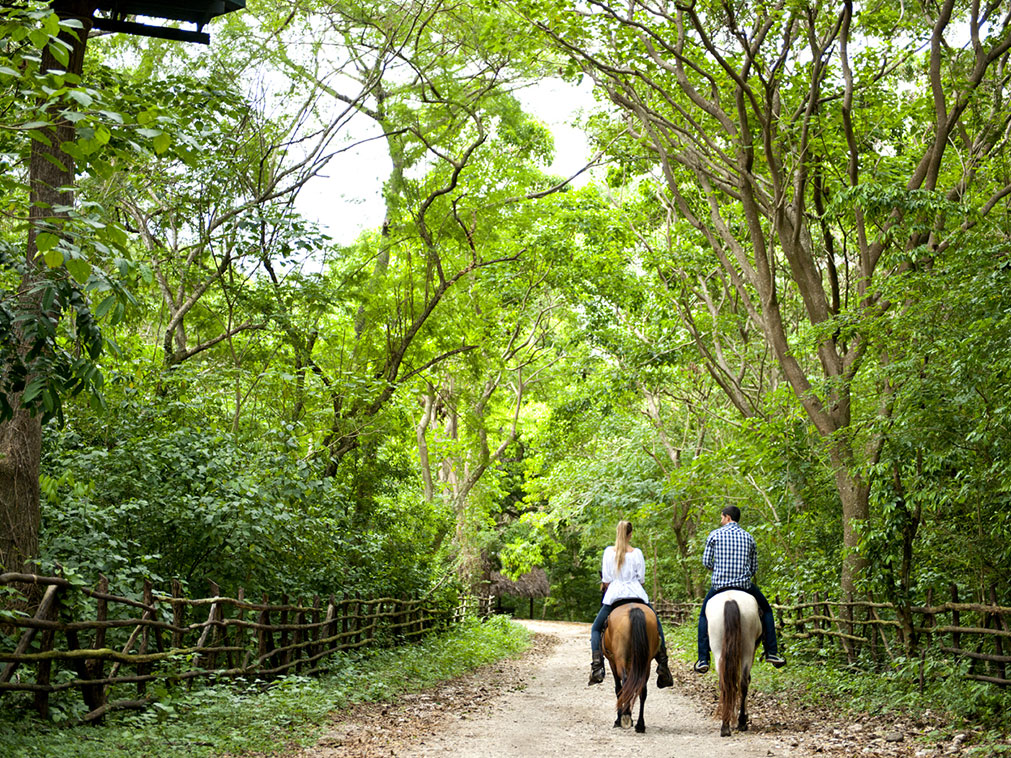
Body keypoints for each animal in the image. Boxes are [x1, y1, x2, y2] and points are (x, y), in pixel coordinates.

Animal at [598, 602, 663, 731]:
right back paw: (640, 725)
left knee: (625, 684)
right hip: (645, 663)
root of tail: (634, 609)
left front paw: (619, 719)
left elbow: (618, 689)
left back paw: (626, 716)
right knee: (642, 689)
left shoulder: (613, 663)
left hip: (620, 660)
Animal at [707, 590, 760, 739]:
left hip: (720, 651)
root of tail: (730, 600)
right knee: (742, 682)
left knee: (728, 684)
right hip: (747, 649)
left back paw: (726, 726)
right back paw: (741, 722)